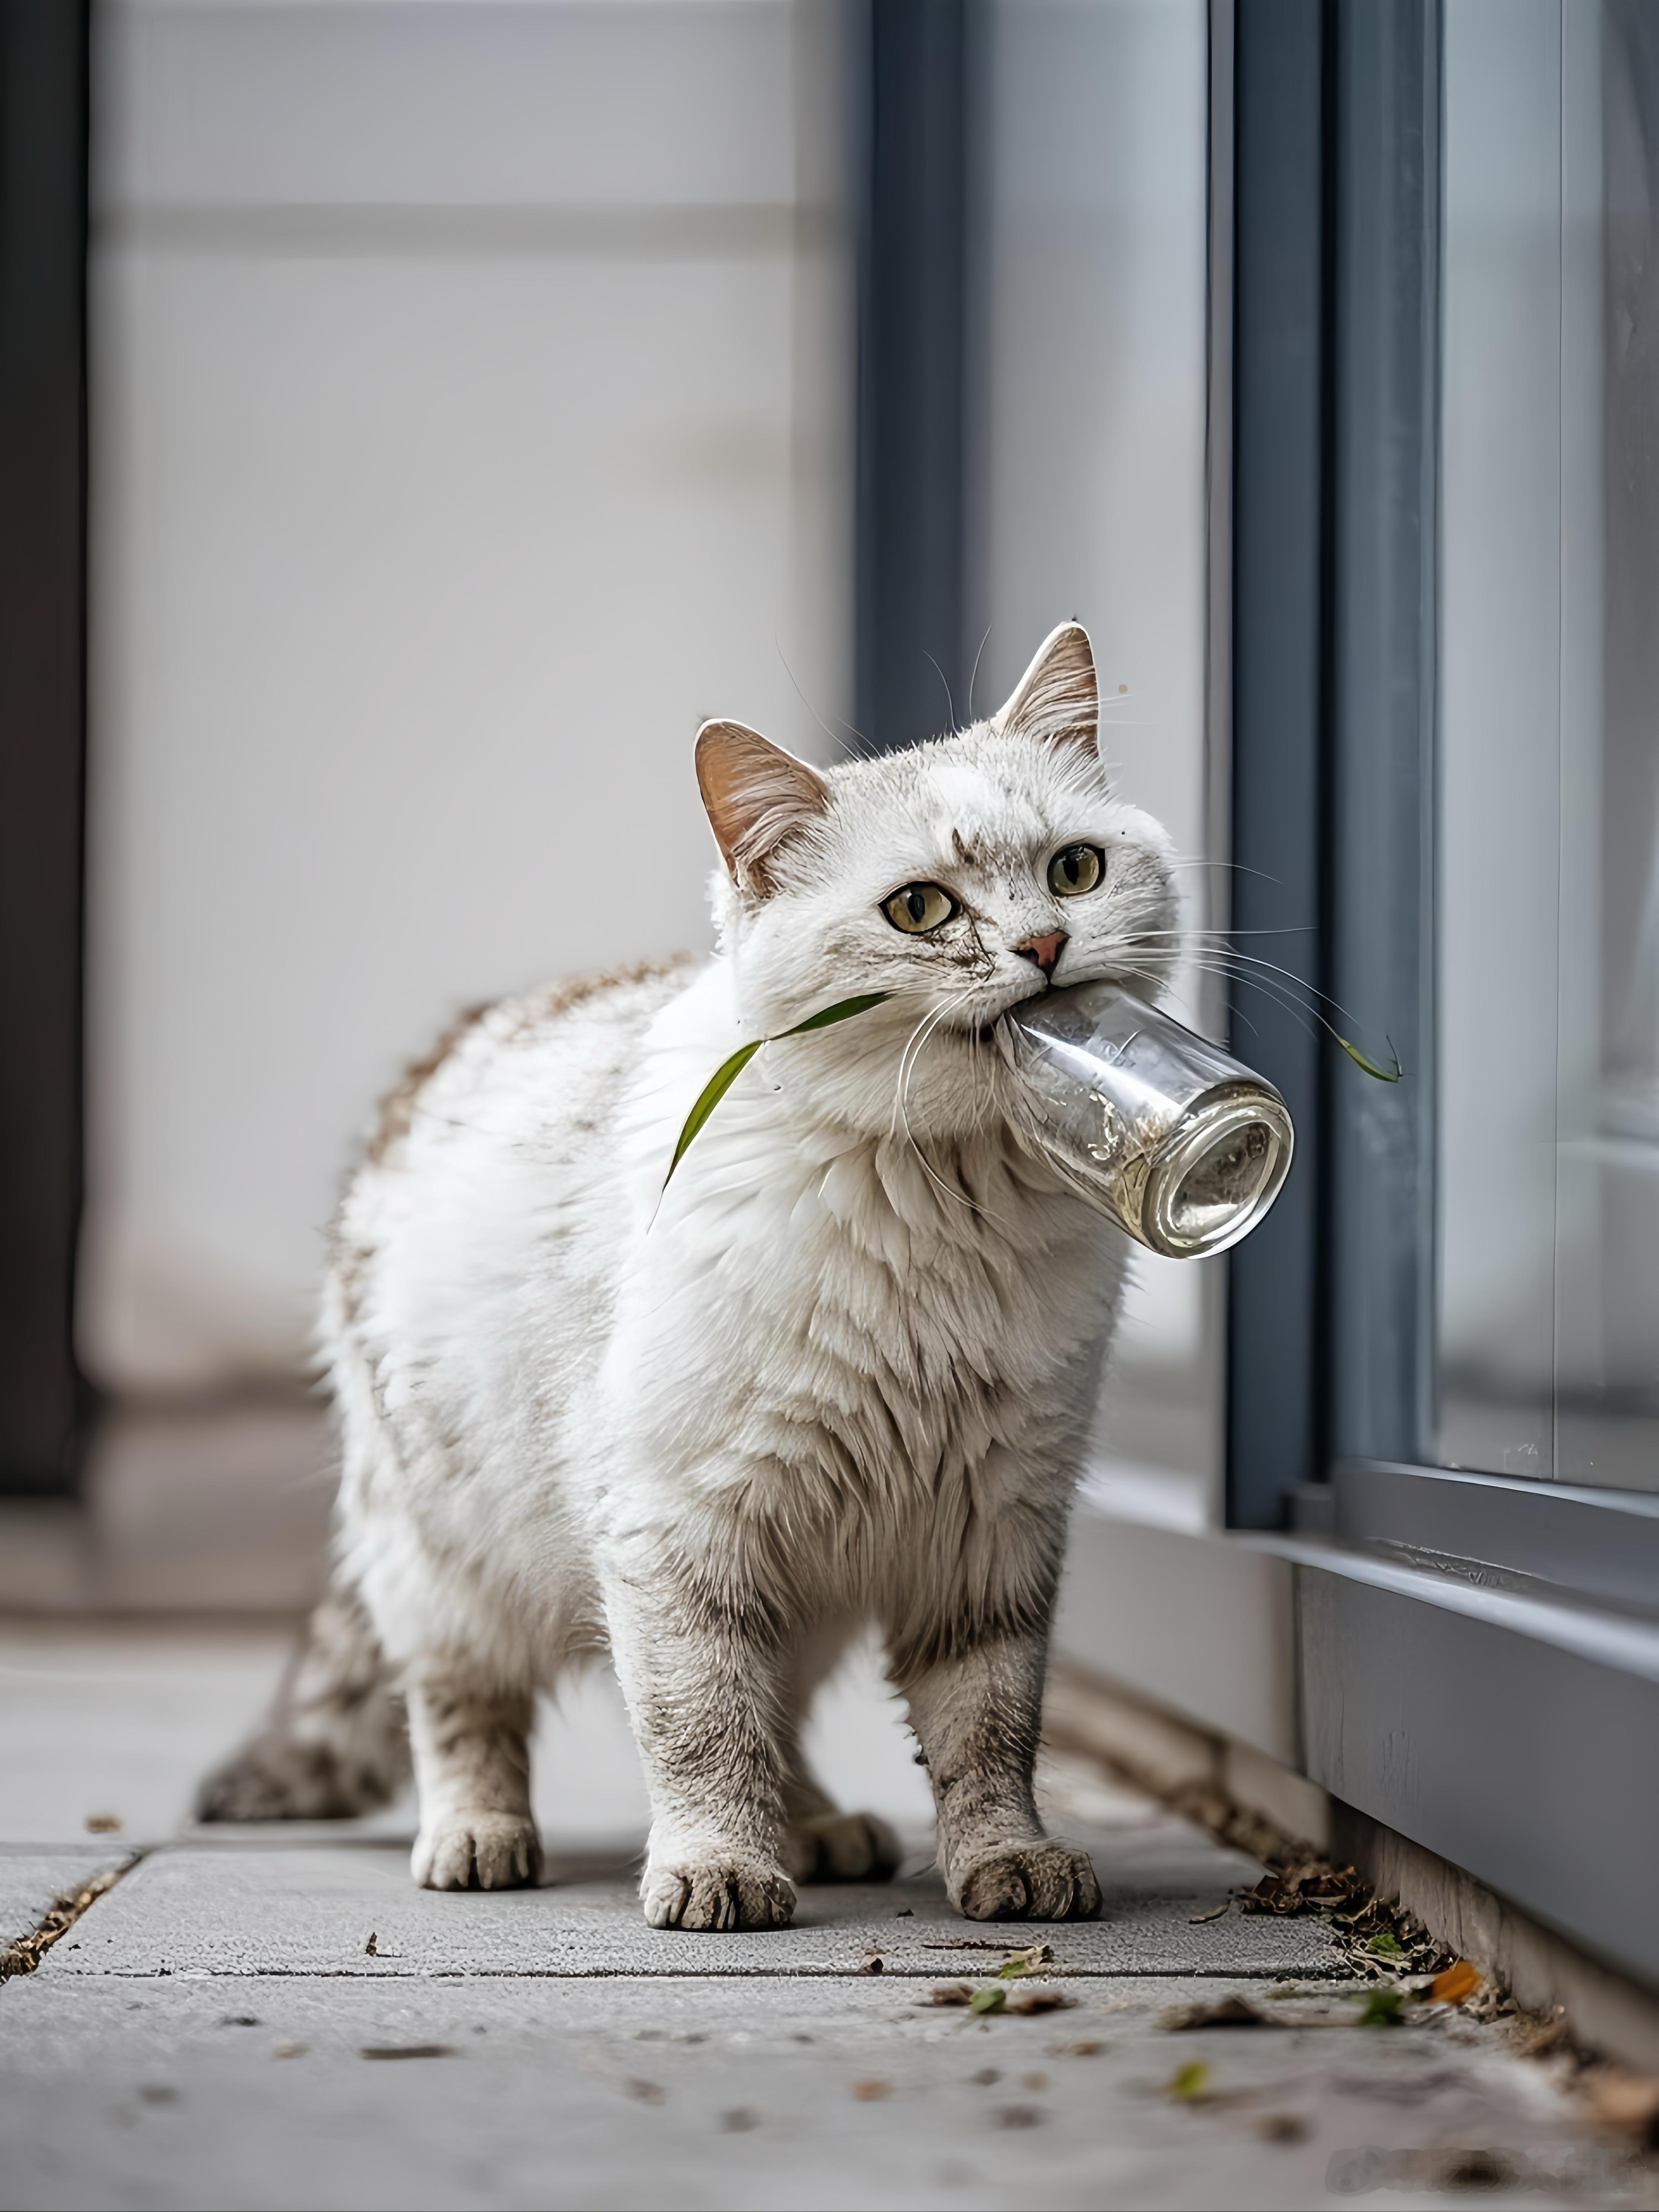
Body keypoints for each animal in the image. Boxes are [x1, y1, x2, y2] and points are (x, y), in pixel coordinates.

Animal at [198, 615, 1185, 1929]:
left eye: (1076, 871)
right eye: (920, 908)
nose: (1043, 946)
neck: (947, 1205)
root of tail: (446, 1043)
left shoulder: (994, 1529)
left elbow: (987, 1728)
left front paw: (1005, 1863)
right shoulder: (681, 1532)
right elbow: (701, 1725)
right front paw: (717, 1867)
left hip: (806, 1583)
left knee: (788, 1717)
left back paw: (818, 1830)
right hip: (445, 1561)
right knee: (465, 1712)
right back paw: (479, 1838)